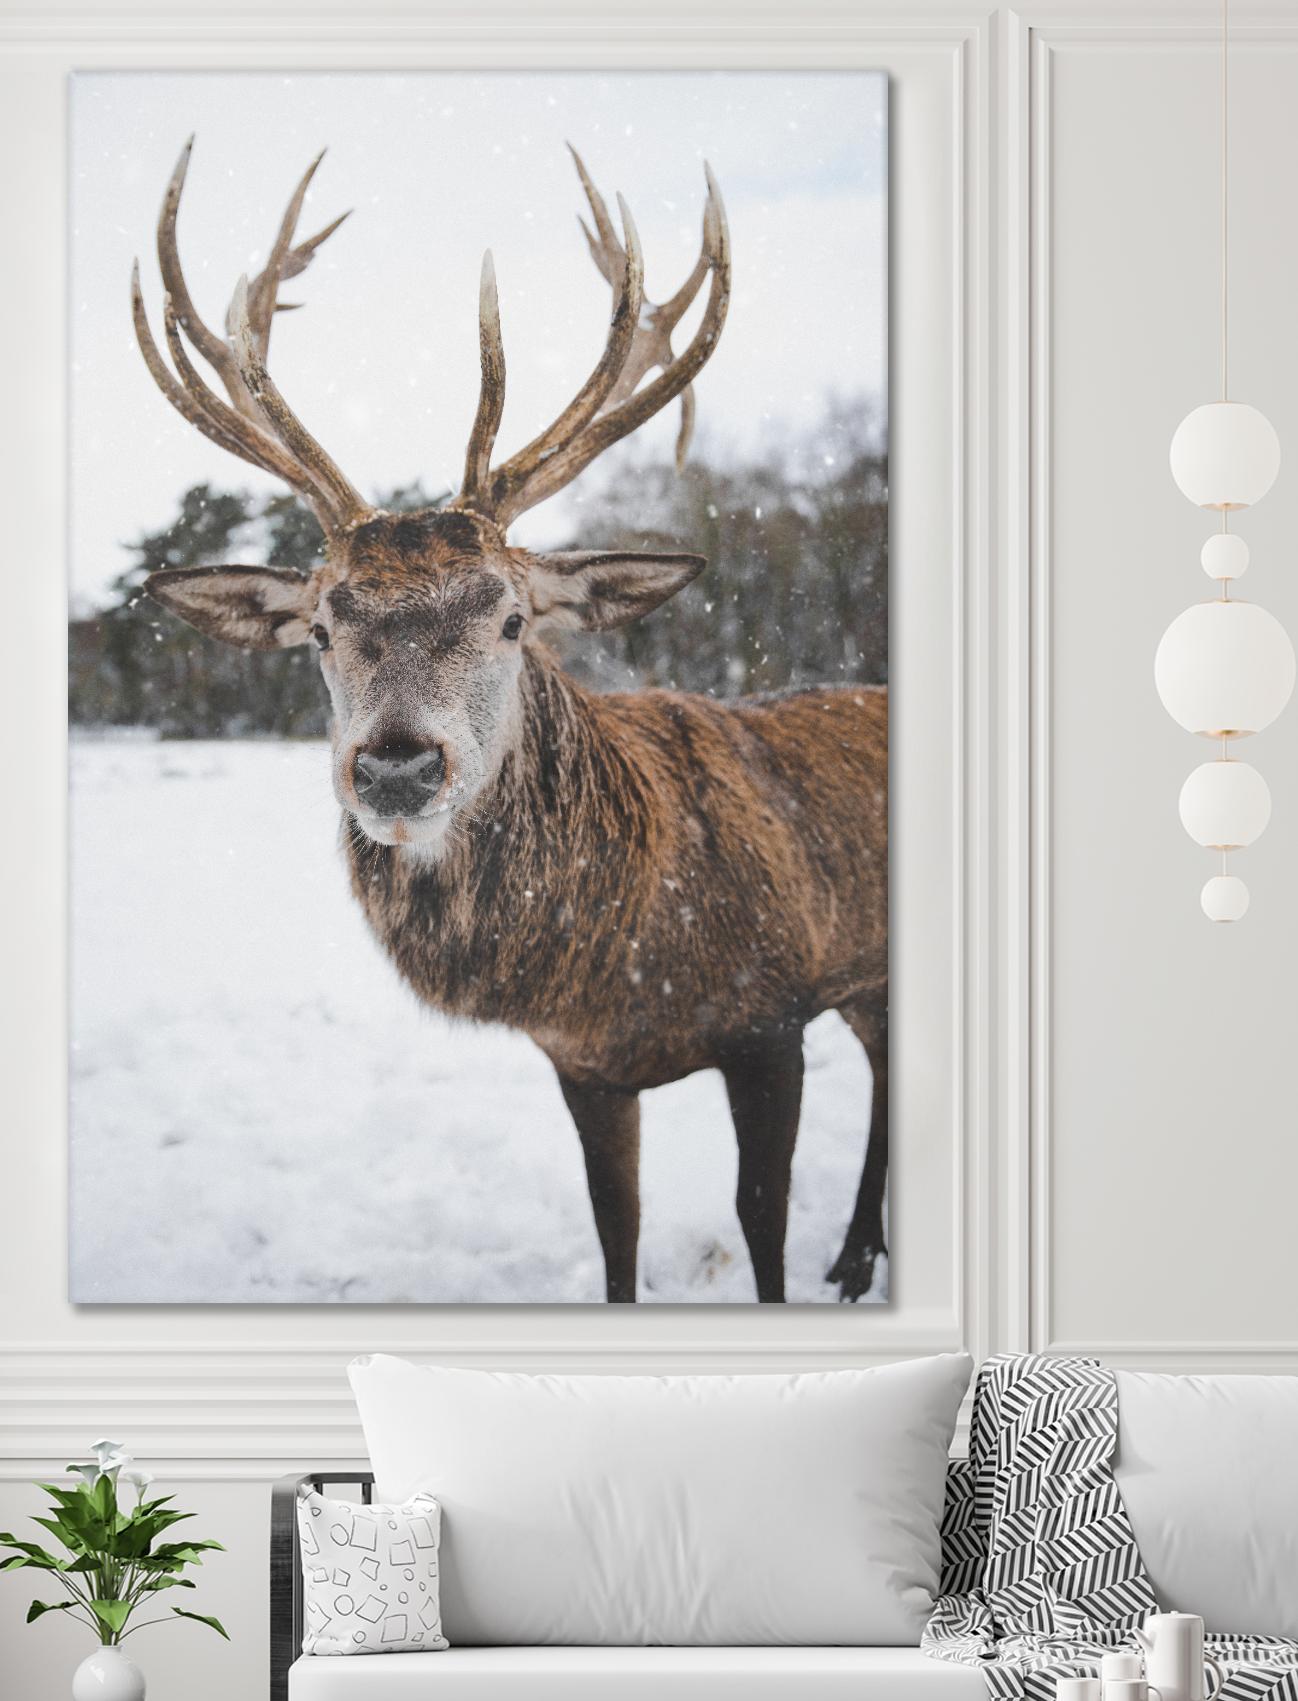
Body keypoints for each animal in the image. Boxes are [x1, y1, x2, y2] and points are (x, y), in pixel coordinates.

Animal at [131, 139, 889, 1304]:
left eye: (512, 616)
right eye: (319, 628)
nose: (397, 768)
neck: (626, 963)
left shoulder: (772, 1016)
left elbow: (760, 1224)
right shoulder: (582, 1065)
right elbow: (616, 1230)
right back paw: (854, 1254)